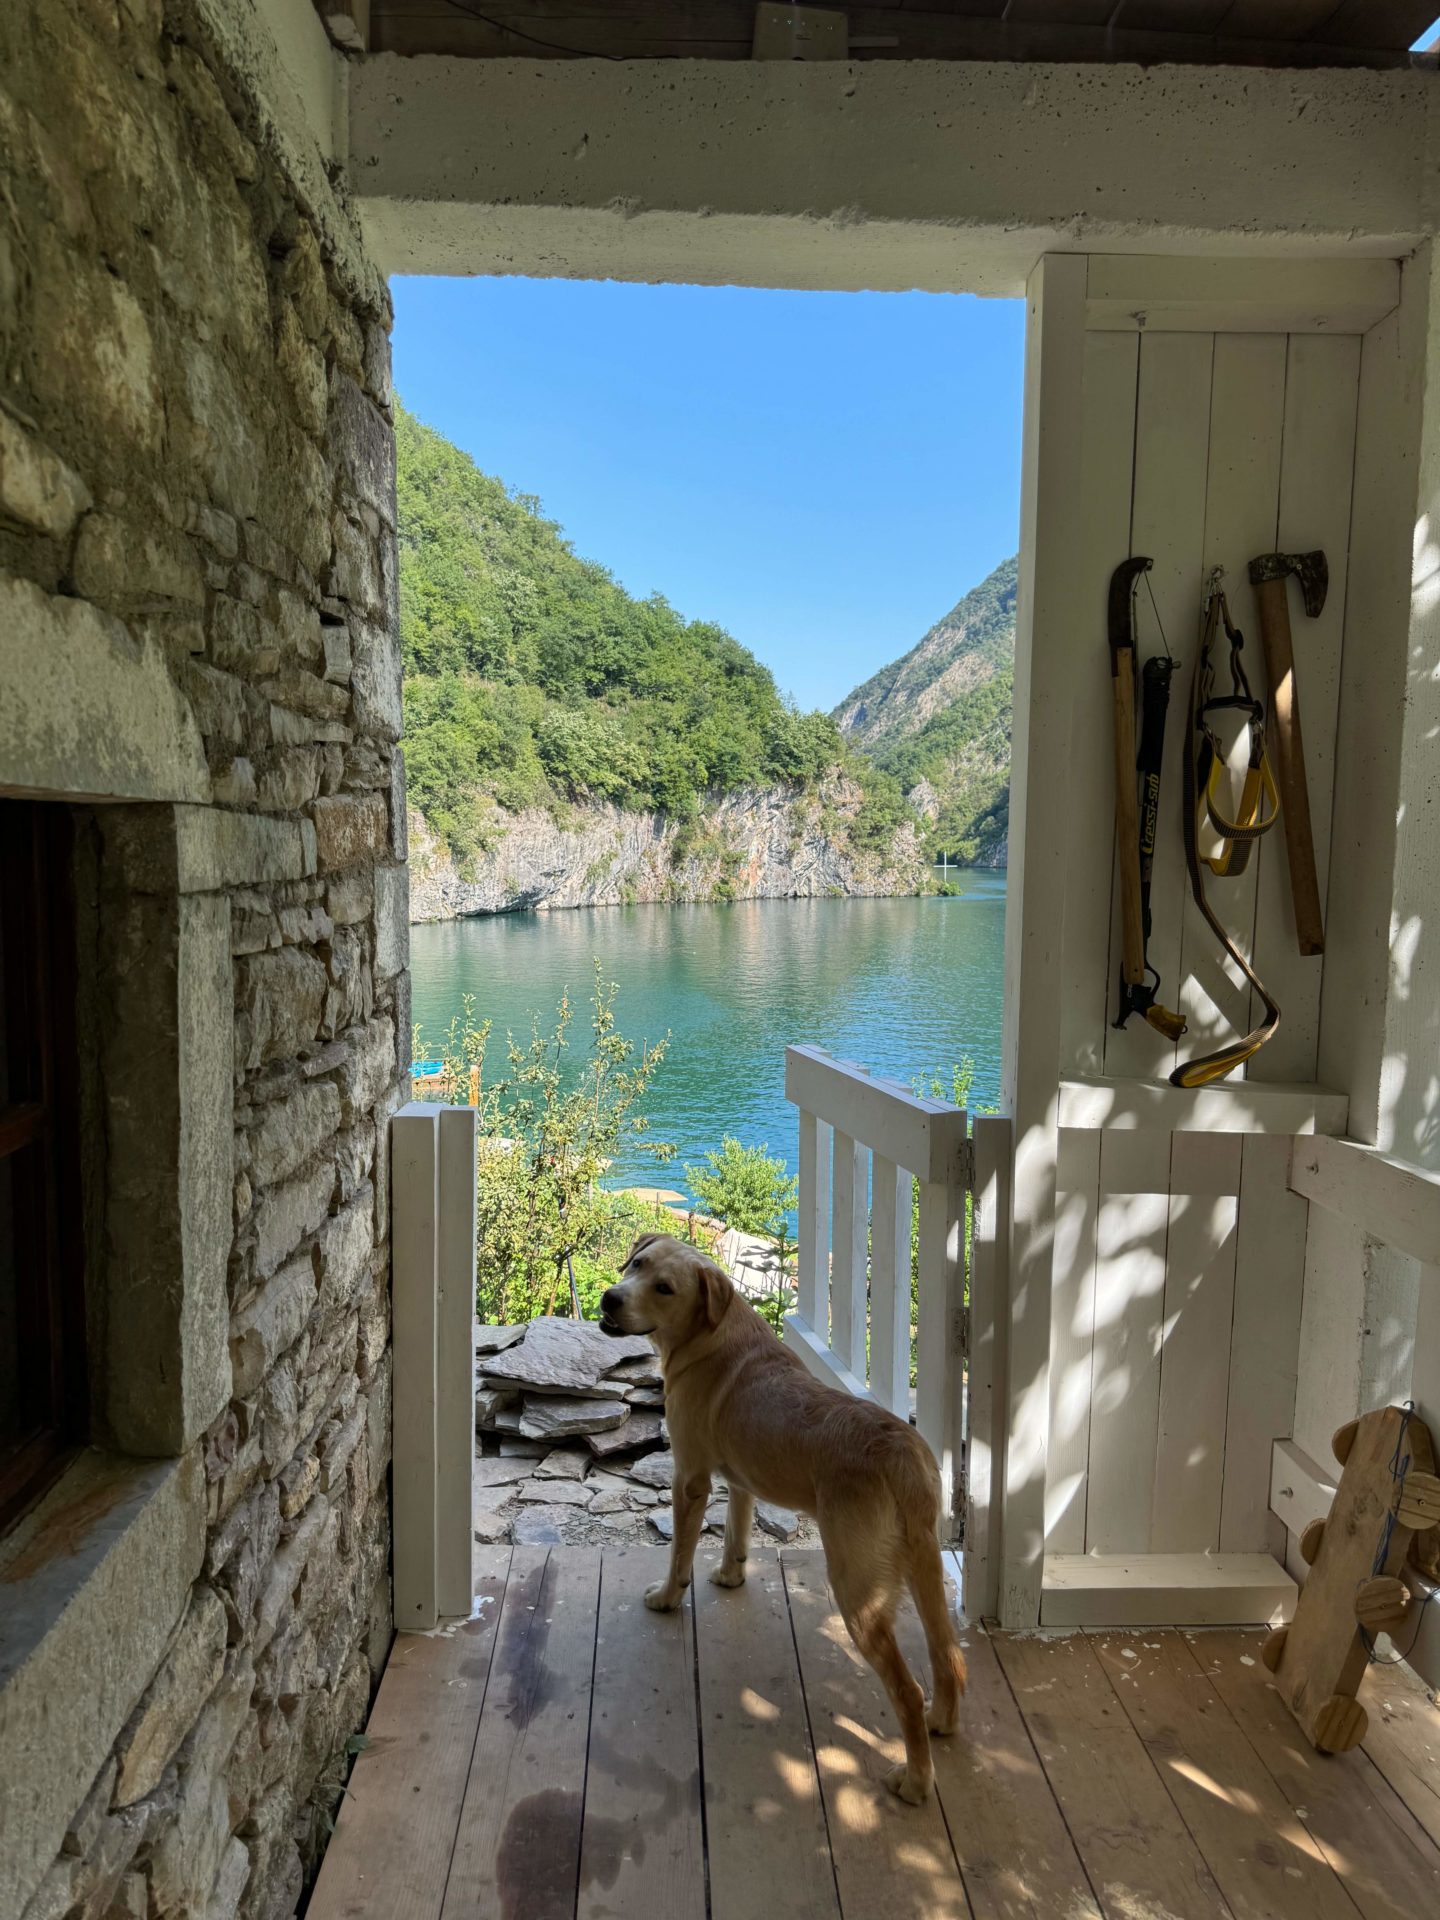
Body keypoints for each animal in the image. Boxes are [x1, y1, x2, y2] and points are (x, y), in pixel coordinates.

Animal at [599, 1228, 971, 1797]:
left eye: (664, 1288)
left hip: (858, 1592)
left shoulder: (690, 1478)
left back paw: (914, 1780)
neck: (708, 1334)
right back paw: (942, 1722)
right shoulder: (739, 1480)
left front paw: (666, 1597)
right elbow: (736, 1532)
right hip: (925, 1567)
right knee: (948, 1655)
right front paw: (730, 1576)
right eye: (637, 1264)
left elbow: (680, 1552)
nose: (609, 1299)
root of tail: (904, 1454)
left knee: (906, 1688)